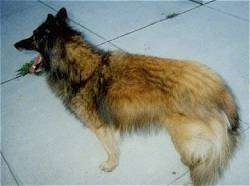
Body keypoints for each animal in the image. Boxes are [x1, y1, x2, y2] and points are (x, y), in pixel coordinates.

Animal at [14, 8, 240, 185]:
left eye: (34, 36)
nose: (15, 45)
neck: (82, 68)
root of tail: (217, 87)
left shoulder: (99, 127)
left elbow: (110, 149)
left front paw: (110, 165)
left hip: (182, 137)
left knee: (202, 160)